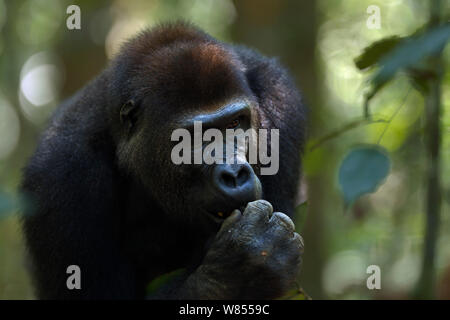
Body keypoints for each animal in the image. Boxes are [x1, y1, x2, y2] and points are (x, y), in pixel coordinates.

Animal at [20, 22, 306, 300]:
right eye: (192, 137)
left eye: (235, 123)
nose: (235, 175)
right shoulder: (60, 176)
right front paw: (238, 272)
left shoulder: (280, 98)